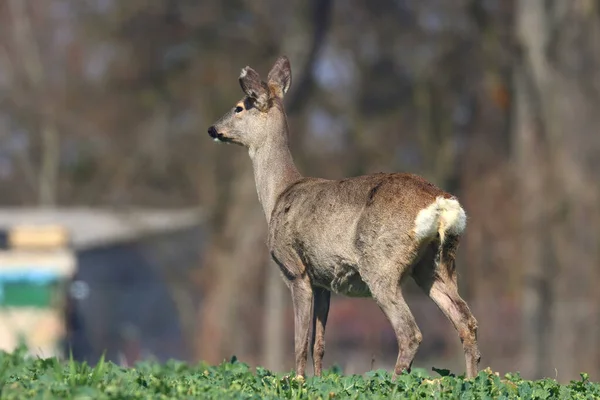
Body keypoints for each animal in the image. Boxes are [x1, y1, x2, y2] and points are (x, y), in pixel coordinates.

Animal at [209, 55, 480, 378]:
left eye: (240, 106)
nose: (212, 128)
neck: (279, 194)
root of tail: (440, 202)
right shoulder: (323, 280)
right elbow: (318, 345)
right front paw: (319, 380)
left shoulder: (295, 269)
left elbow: (300, 343)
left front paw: (297, 380)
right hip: (436, 263)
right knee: (466, 321)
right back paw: (473, 380)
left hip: (381, 263)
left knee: (410, 332)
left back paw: (392, 382)